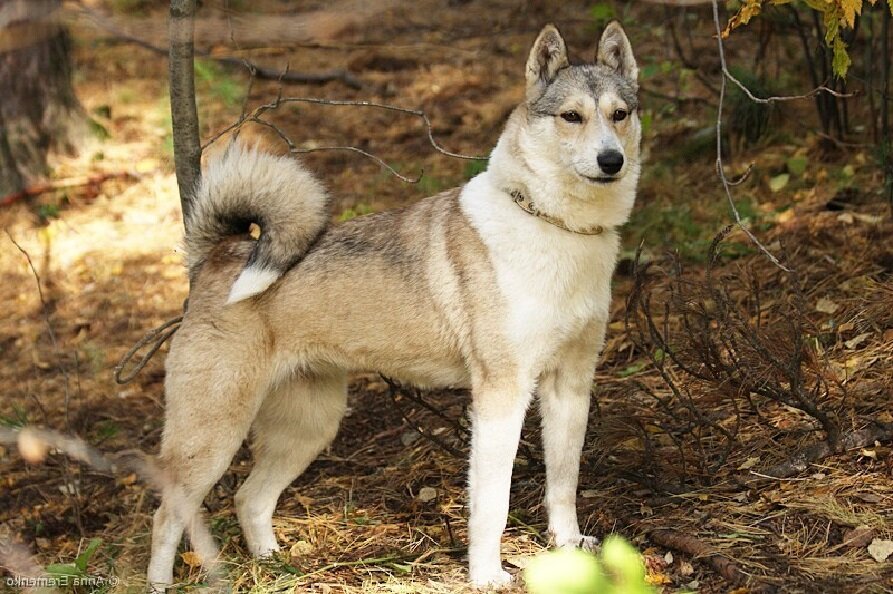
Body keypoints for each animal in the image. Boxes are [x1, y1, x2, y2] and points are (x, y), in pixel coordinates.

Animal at [146, 20, 636, 584]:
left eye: (620, 115)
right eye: (571, 116)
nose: (611, 161)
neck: (554, 226)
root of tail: (219, 255)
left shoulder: (569, 387)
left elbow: (564, 482)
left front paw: (569, 548)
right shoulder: (501, 395)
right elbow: (492, 503)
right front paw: (487, 574)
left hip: (308, 427)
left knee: (250, 499)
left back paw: (276, 563)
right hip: (212, 436)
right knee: (167, 515)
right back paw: (160, 583)